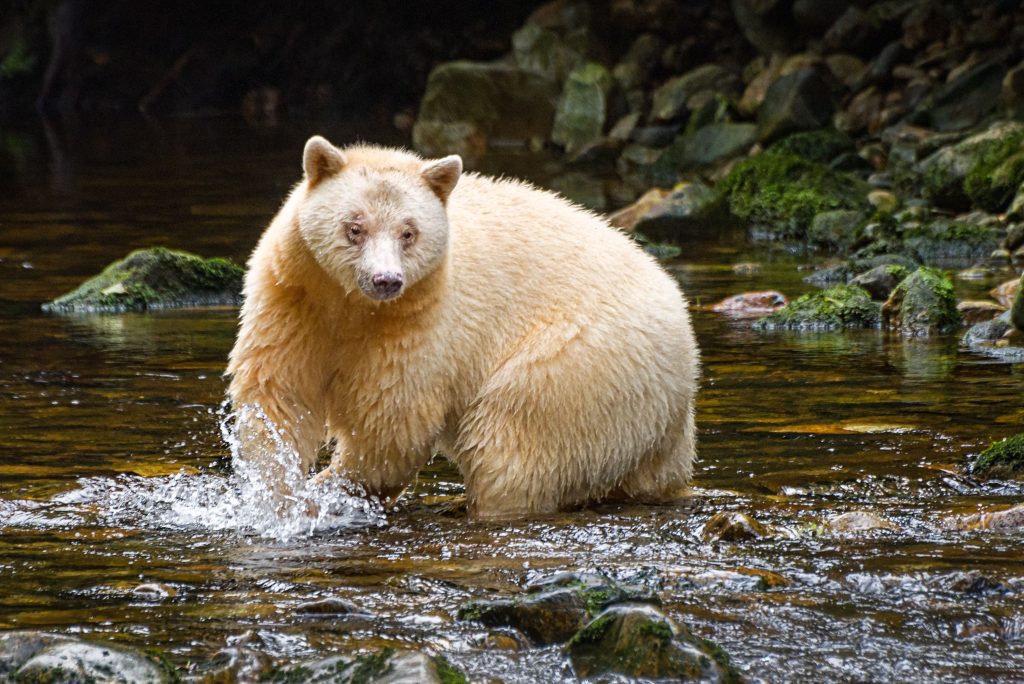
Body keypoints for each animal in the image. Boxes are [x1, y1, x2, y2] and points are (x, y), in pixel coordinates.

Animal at [228, 136, 700, 516]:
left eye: (409, 233)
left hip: (578, 368)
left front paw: (326, 491)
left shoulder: (420, 322)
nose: (386, 280)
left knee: (510, 448)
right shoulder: (293, 302)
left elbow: (391, 423)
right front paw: (278, 491)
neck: (350, 305)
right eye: (354, 227)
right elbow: (277, 394)